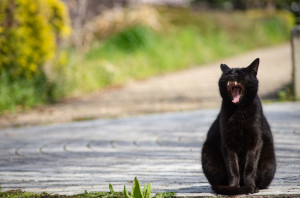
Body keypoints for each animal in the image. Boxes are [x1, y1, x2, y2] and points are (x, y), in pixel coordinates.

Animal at [202, 58, 276, 195]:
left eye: (239, 73)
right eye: (227, 73)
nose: (231, 74)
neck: (239, 111)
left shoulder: (255, 141)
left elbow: (250, 167)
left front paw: (250, 186)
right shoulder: (228, 143)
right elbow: (233, 167)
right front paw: (234, 187)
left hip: (269, 164)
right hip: (208, 158)